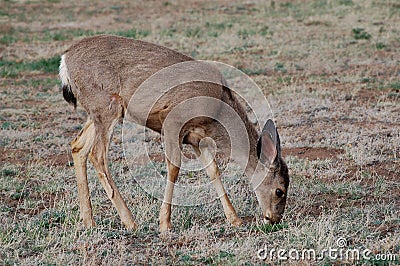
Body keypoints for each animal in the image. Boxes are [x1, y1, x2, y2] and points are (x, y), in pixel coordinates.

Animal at [59, 34, 290, 232]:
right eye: (280, 190)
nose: (274, 219)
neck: (219, 112)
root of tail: (65, 60)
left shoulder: (197, 139)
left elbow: (213, 170)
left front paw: (234, 219)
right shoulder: (173, 121)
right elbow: (174, 167)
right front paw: (165, 223)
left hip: (97, 111)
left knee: (78, 147)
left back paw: (89, 221)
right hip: (108, 105)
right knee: (97, 154)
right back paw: (130, 221)